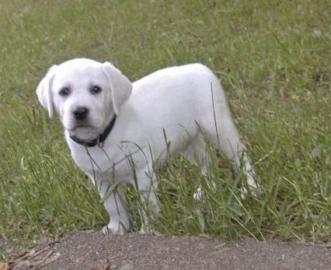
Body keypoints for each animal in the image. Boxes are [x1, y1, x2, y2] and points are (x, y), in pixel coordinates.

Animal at [37, 58, 260, 234]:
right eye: (64, 91)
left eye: (96, 89)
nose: (80, 111)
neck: (103, 137)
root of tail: (199, 66)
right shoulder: (99, 178)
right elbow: (113, 205)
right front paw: (118, 227)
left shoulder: (142, 171)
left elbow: (146, 205)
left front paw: (148, 229)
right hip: (187, 140)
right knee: (207, 161)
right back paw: (206, 191)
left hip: (217, 126)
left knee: (241, 156)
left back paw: (252, 189)